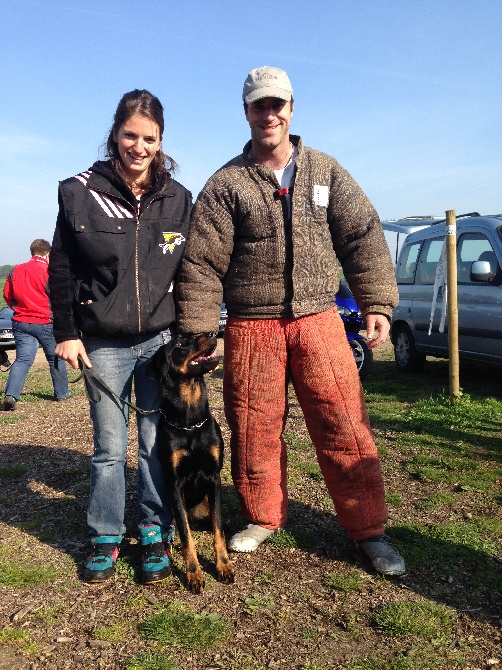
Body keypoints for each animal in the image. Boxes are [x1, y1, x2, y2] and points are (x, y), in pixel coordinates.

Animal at [148, 334, 234, 592]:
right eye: (178, 344)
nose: (212, 333)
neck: (190, 423)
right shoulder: (175, 484)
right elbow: (187, 537)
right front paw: (194, 574)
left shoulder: (214, 477)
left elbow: (218, 529)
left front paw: (223, 565)